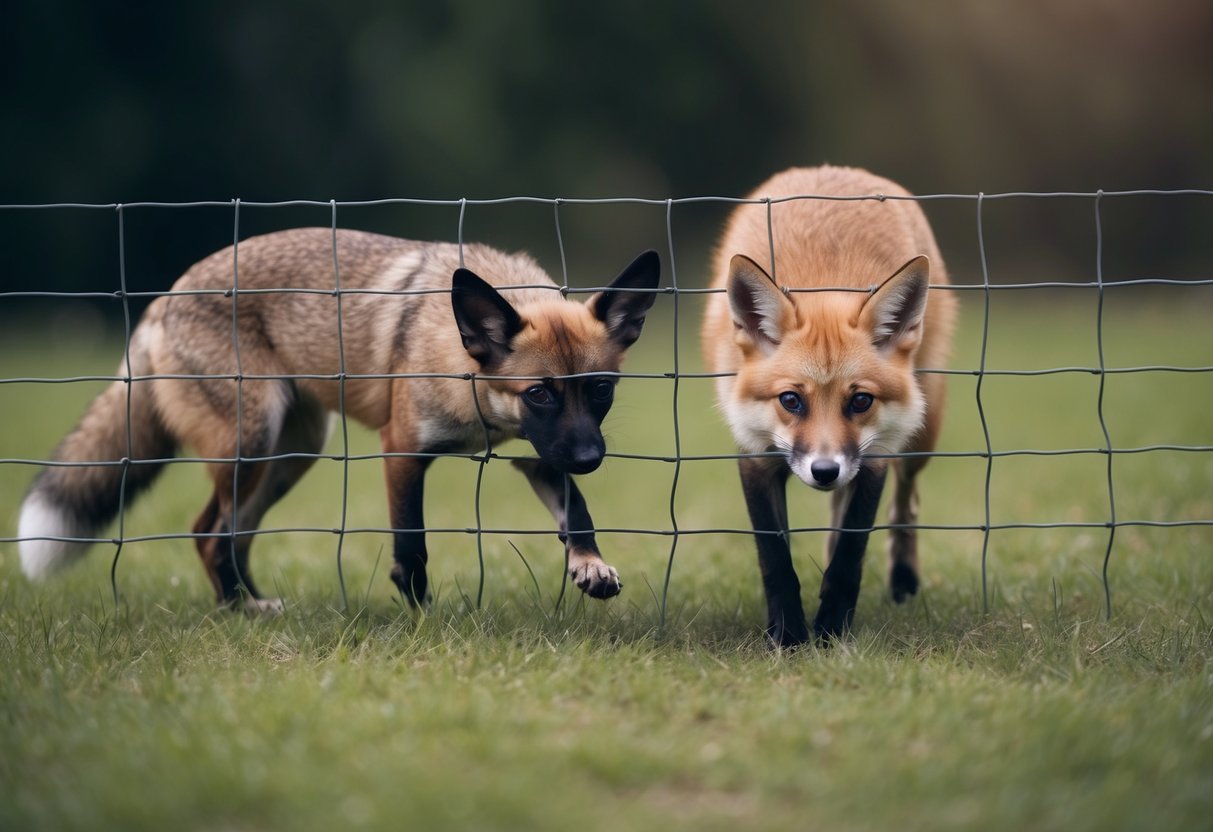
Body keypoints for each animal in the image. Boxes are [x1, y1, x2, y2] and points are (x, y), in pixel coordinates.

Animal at [18, 228, 660, 612]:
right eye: (540, 394)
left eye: (600, 390)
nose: (591, 458)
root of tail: (160, 301)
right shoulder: (402, 451)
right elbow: (412, 545)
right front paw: (424, 619)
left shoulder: (538, 454)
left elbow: (577, 512)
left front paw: (591, 566)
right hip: (251, 442)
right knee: (208, 532)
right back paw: (240, 610)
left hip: (289, 456)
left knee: (231, 535)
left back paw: (251, 606)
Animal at [702, 166, 956, 646]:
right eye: (790, 400)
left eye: (860, 400)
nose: (824, 471)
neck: (824, 282)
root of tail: (831, 168)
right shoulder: (754, 451)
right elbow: (775, 559)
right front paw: (788, 635)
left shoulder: (874, 456)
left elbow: (851, 553)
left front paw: (832, 630)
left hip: (922, 431)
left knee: (906, 501)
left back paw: (903, 576)